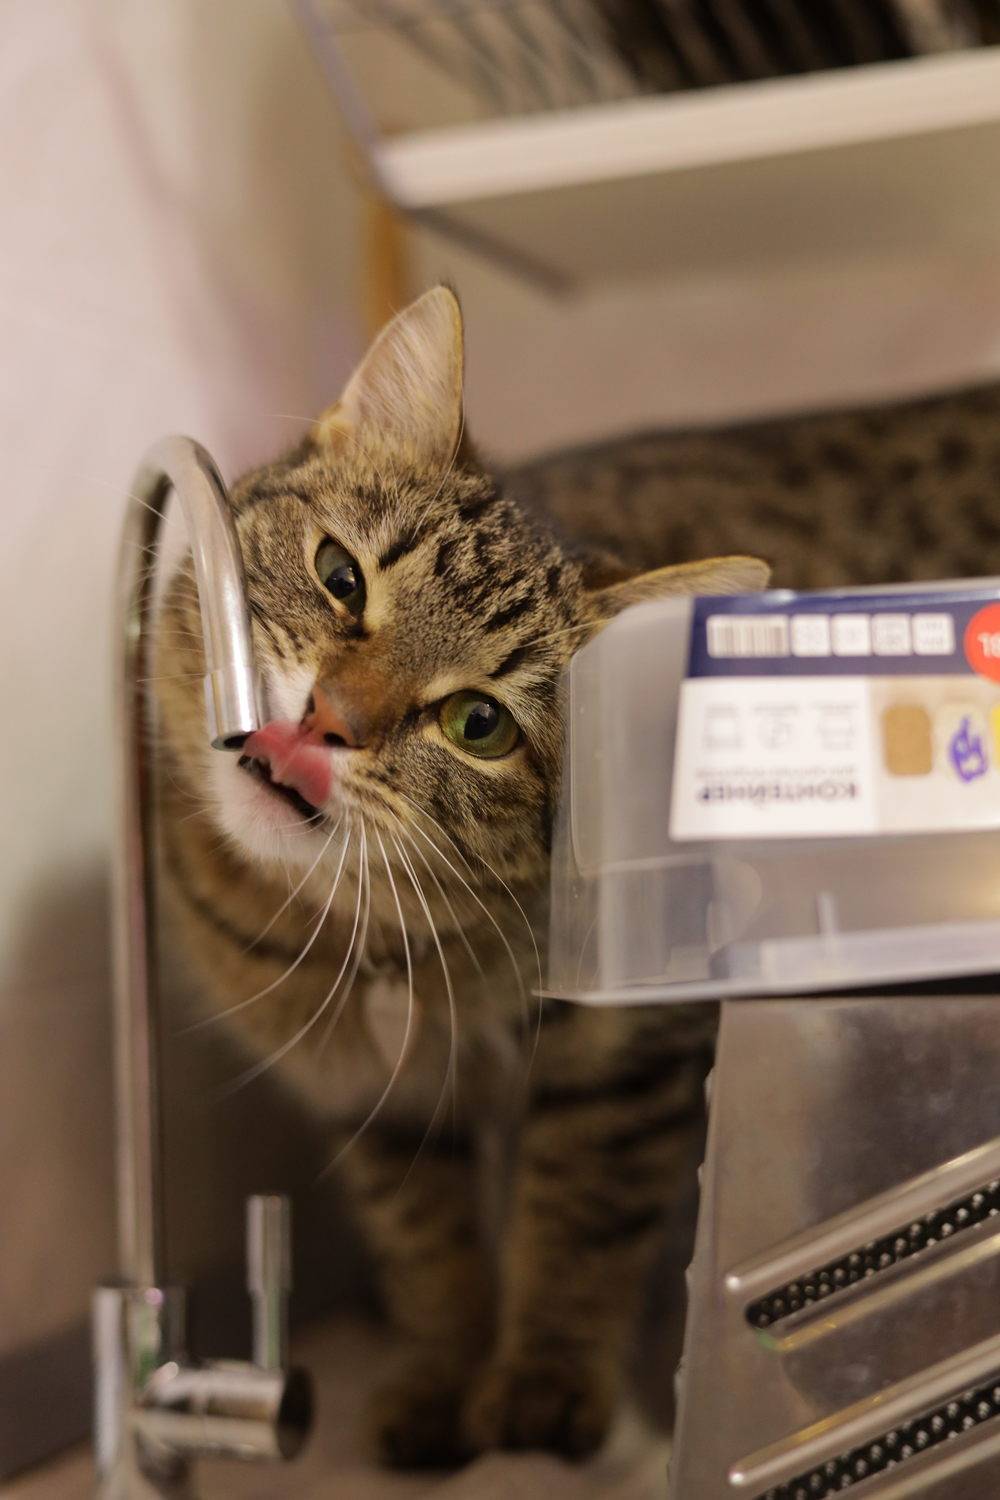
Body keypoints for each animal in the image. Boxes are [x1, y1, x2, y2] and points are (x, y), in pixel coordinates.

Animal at [155, 283, 1000, 1467]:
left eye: (479, 725)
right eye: (339, 577)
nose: (330, 721)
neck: (367, 943)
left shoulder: (625, 1056)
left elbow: (577, 1217)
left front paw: (539, 1385)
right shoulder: (377, 1099)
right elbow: (425, 1240)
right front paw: (442, 1371)